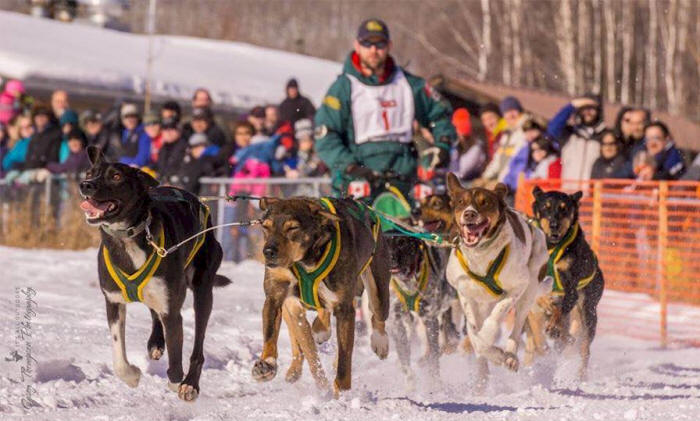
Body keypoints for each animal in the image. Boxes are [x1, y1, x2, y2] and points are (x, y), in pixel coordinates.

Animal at [81, 146, 230, 398]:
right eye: (90, 172)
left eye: (116, 176)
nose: (86, 185)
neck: (127, 237)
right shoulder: (113, 302)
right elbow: (119, 359)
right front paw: (132, 376)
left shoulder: (172, 310)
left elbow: (176, 361)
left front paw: (177, 381)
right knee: (154, 314)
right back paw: (156, 343)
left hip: (203, 292)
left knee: (198, 344)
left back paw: (190, 383)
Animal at [253, 196, 394, 394]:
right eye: (266, 226)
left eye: (292, 228)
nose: (268, 252)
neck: (306, 261)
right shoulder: (278, 298)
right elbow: (276, 336)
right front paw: (267, 363)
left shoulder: (344, 309)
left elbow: (344, 357)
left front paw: (341, 391)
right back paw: (319, 332)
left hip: (378, 288)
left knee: (378, 315)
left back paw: (380, 342)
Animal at [442, 174, 552, 388]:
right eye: (461, 202)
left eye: (484, 202)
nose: (469, 214)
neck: (481, 254)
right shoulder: (465, 293)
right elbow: (473, 332)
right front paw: (487, 352)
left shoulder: (517, 287)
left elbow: (496, 316)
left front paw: (489, 336)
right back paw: (483, 372)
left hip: (530, 290)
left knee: (516, 329)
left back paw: (510, 356)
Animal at [532, 186, 604, 378]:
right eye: (546, 207)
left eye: (564, 209)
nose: (554, 225)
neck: (551, 247)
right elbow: (539, 297)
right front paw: (547, 304)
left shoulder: (571, 289)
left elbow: (560, 309)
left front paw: (553, 321)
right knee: (564, 338)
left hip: (587, 312)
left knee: (584, 348)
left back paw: (581, 375)